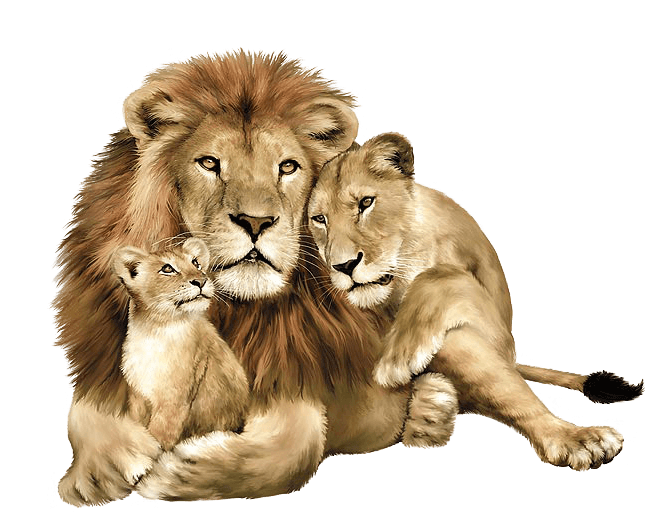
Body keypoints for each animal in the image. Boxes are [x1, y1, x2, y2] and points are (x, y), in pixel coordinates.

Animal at [53, 50, 450, 506]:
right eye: (209, 163)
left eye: (288, 167)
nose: (256, 221)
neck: (236, 311)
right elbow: (85, 410)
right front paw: (97, 469)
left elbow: (300, 443)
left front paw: (182, 472)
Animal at [307, 131, 644, 469]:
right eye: (319, 219)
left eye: (366, 203)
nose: (343, 266)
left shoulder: (494, 326)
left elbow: (440, 274)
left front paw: (397, 359)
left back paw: (579, 440)